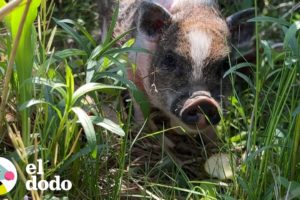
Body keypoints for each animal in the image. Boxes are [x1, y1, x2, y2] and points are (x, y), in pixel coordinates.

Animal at [114, 0, 253, 138]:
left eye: (225, 65)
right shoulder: (132, 68)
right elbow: (140, 104)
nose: (203, 100)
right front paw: (143, 131)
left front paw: (214, 139)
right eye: (170, 59)